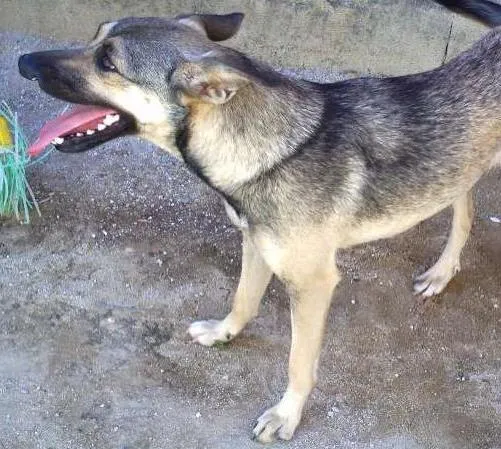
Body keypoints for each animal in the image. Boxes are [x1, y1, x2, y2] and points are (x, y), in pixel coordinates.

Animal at [18, 0, 500, 440]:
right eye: (96, 36)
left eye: (108, 62)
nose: (24, 63)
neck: (263, 143)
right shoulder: (255, 242)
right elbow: (243, 299)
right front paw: (224, 333)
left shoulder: (312, 283)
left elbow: (298, 362)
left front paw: (287, 415)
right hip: (457, 168)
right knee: (465, 212)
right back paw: (442, 272)